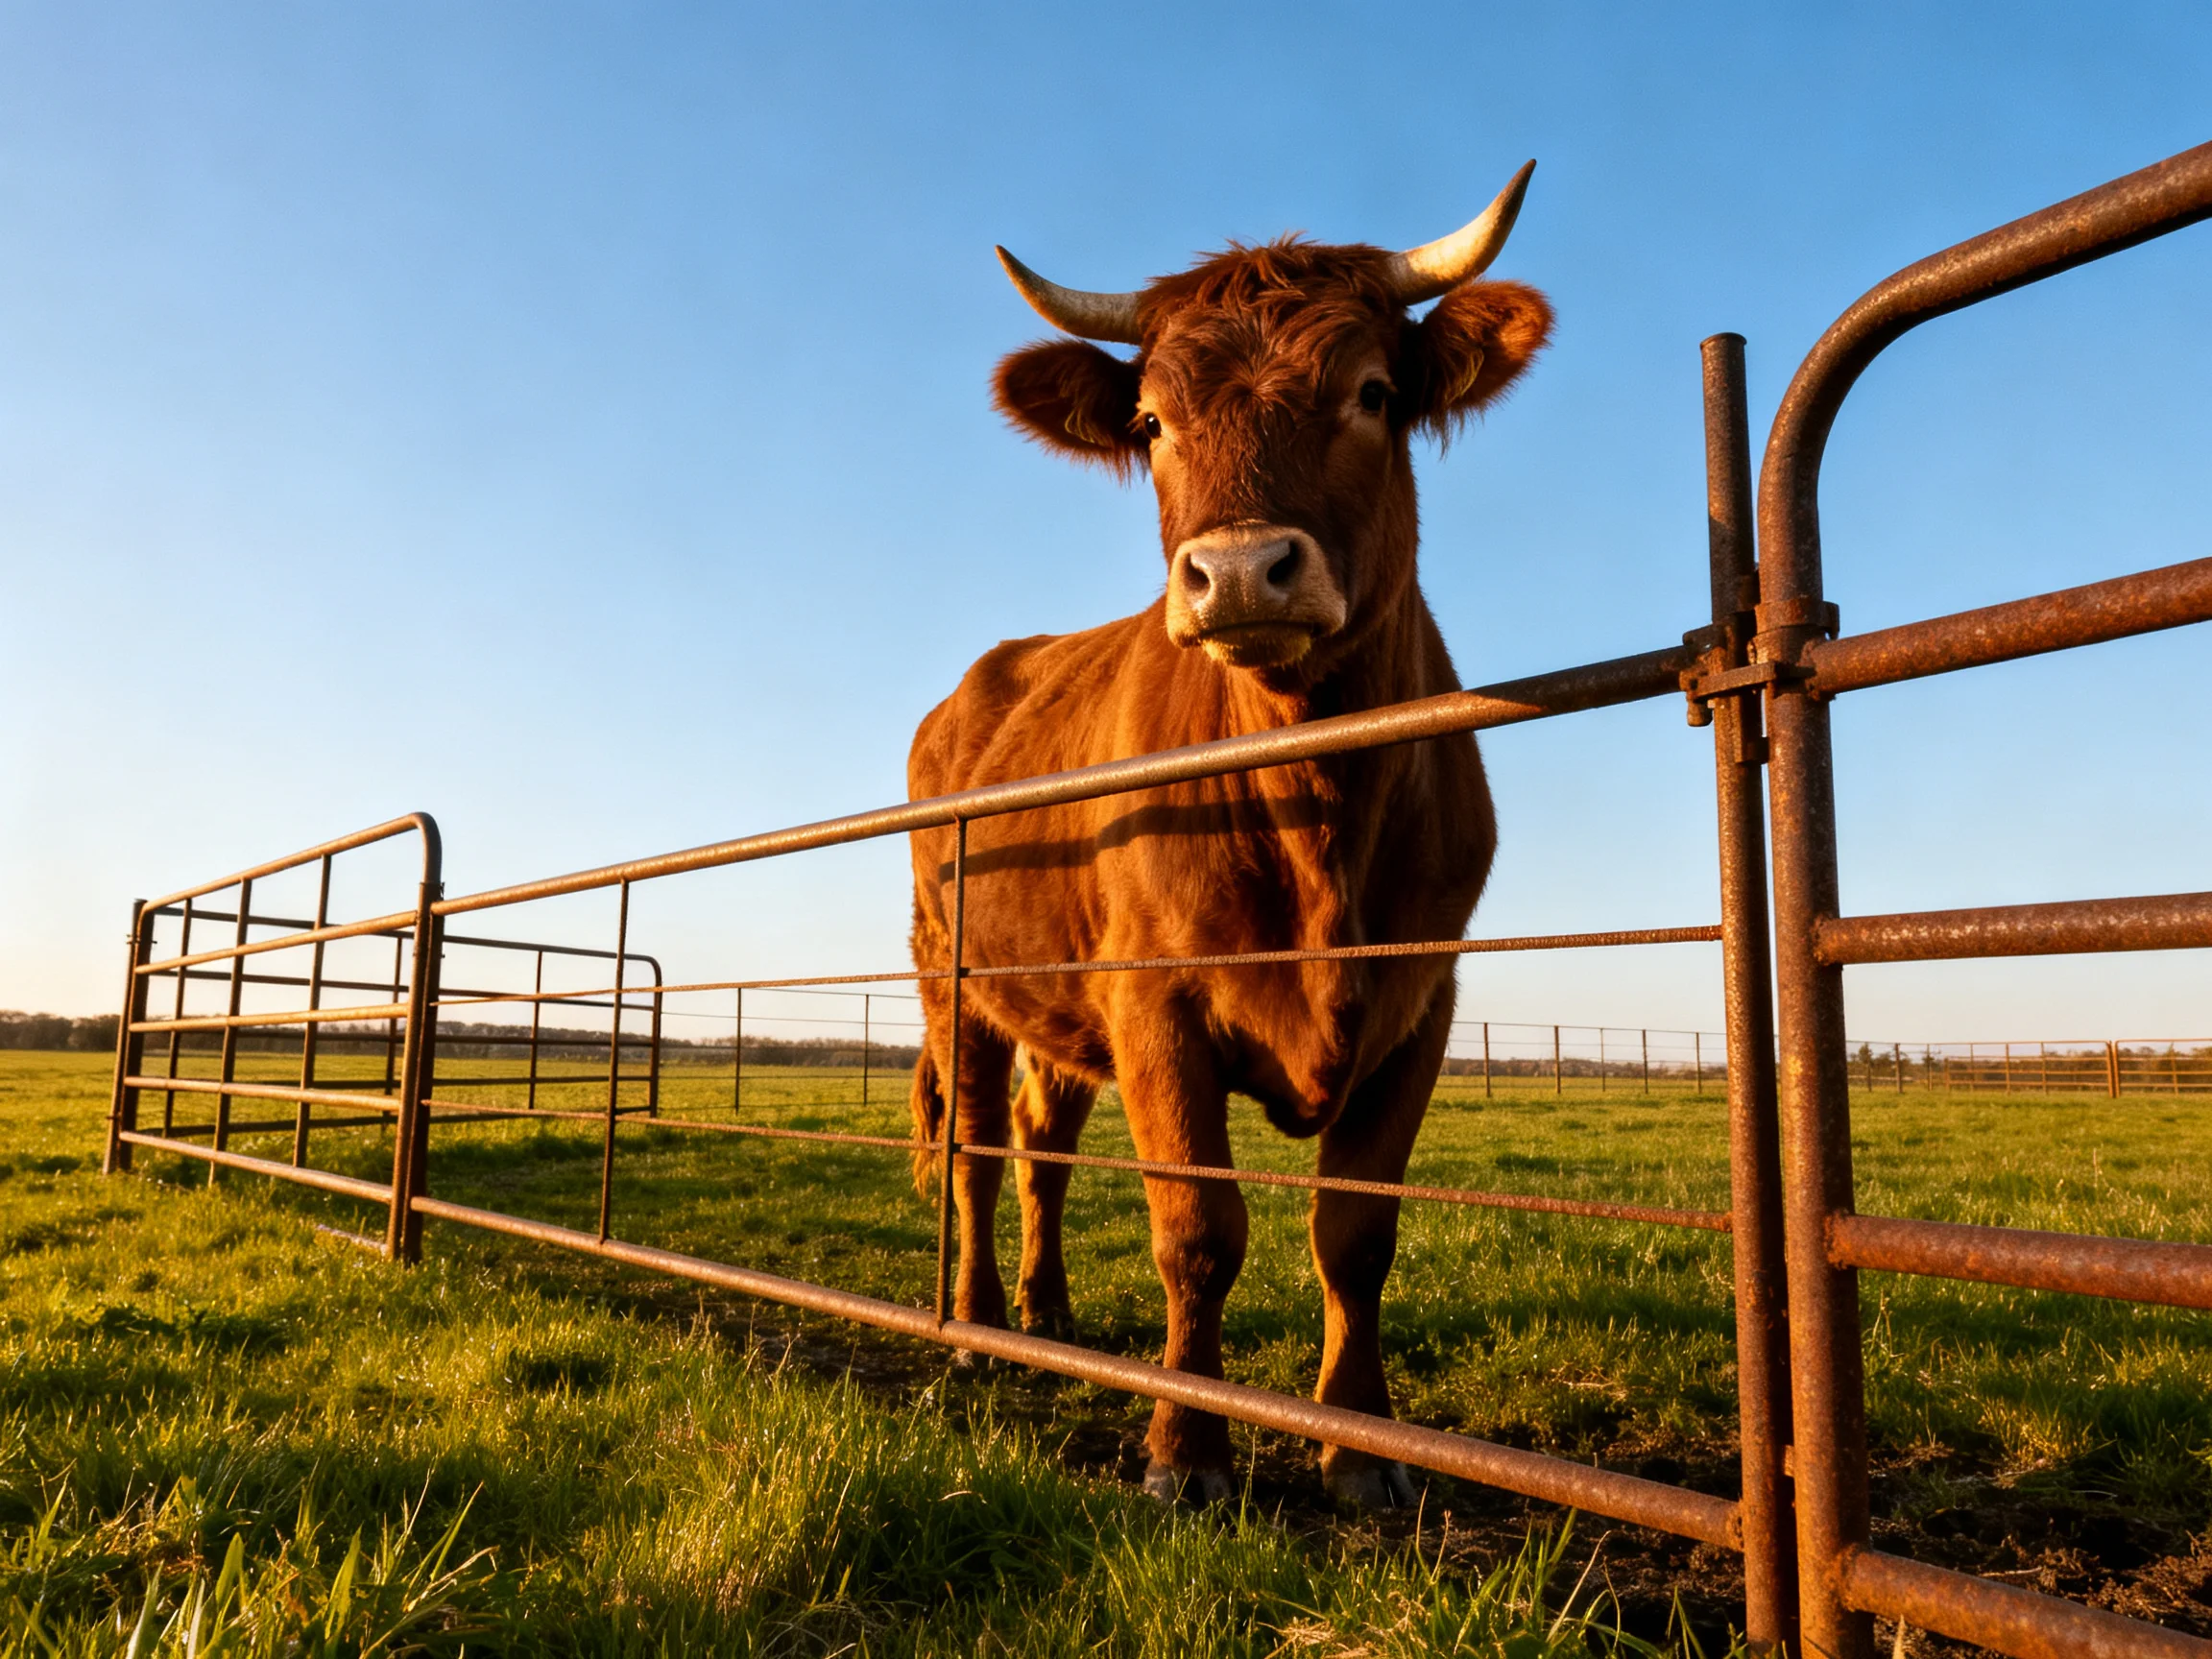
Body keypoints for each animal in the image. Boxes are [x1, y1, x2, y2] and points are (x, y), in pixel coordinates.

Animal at [906, 164, 1554, 1508]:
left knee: (1042, 1150)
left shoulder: (1421, 1002)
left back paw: (1047, 1312)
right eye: (1152, 422)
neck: (1314, 813)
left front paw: (1358, 1443)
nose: (1244, 572)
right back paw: (981, 1320)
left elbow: (1354, 1234)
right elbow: (1198, 1232)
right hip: (957, 980)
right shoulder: (1158, 1002)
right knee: (978, 1150)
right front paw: (1186, 1449)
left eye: (1372, 392)